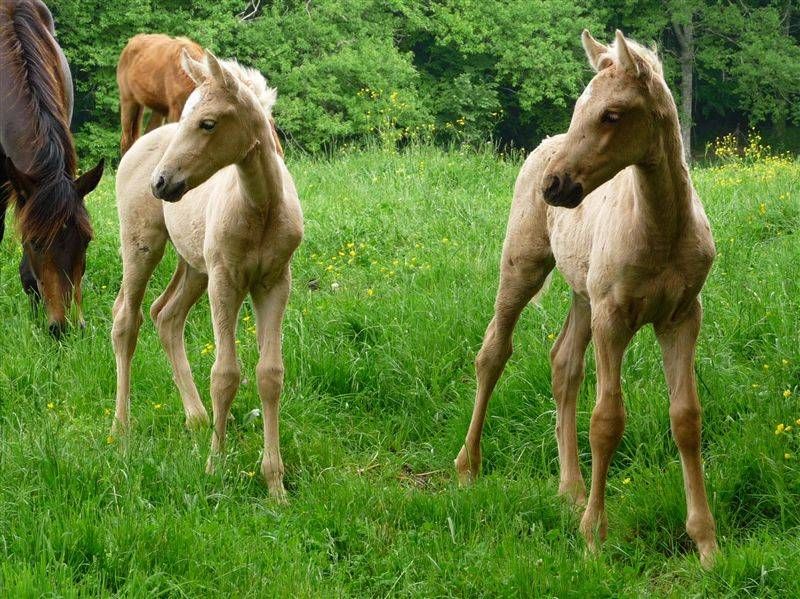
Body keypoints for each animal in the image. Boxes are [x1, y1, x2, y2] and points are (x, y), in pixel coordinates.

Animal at [112, 50, 302, 501]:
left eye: (208, 123)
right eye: (186, 116)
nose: (161, 182)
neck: (261, 208)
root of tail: (135, 148)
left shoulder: (275, 283)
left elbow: (270, 375)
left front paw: (275, 484)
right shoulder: (225, 281)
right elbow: (225, 374)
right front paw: (216, 467)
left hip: (194, 266)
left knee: (165, 315)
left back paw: (198, 419)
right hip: (144, 245)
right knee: (126, 319)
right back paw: (121, 429)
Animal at [454, 30, 719, 568]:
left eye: (612, 114)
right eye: (580, 107)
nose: (554, 185)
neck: (661, 230)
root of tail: (541, 146)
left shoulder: (682, 316)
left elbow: (686, 418)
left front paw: (705, 542)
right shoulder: (613, 317)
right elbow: (607, 421)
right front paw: (594, 536)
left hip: (582, 295)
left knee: (563, 363)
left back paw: (570, 488)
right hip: (524, 265)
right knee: (493, 351)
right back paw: (469, 466)